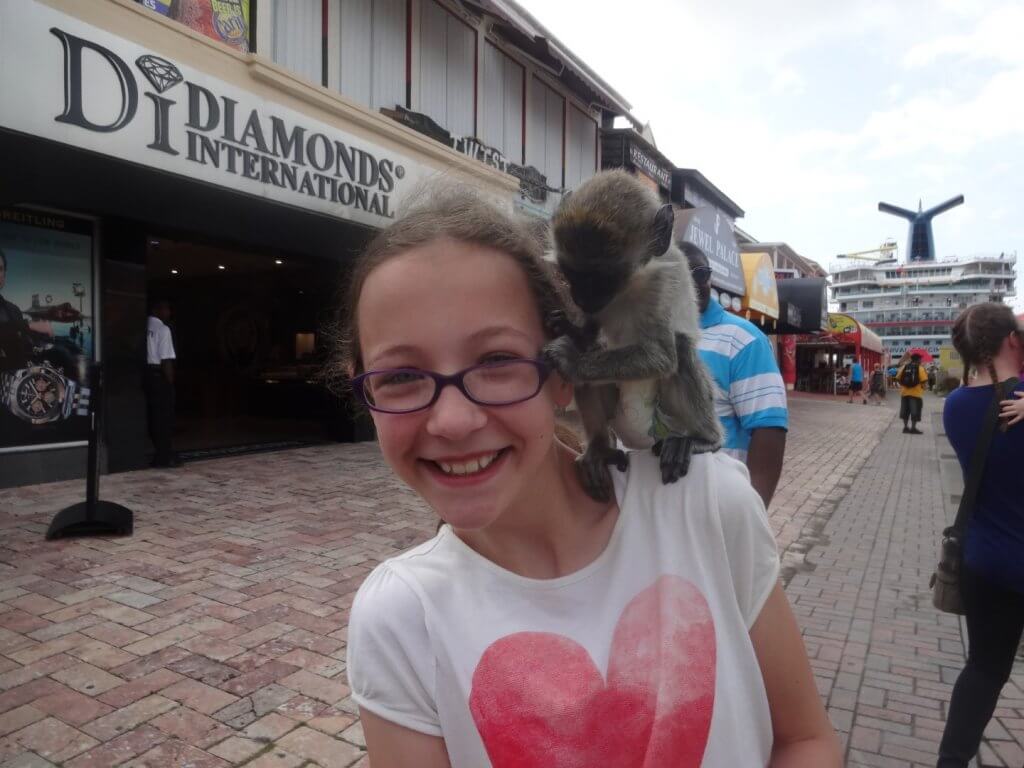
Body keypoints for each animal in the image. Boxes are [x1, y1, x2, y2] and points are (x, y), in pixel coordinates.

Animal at [544, 169, 720, 505]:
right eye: (572, 275)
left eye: (601, 278)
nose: (581, 297)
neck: (629, 287)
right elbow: (589, 333)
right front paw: (569, 328)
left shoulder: (661, 284)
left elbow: (662, 356)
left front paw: (571, 359)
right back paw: (600, 448)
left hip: (665, 418)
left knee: (680, 348)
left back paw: (705, 439)